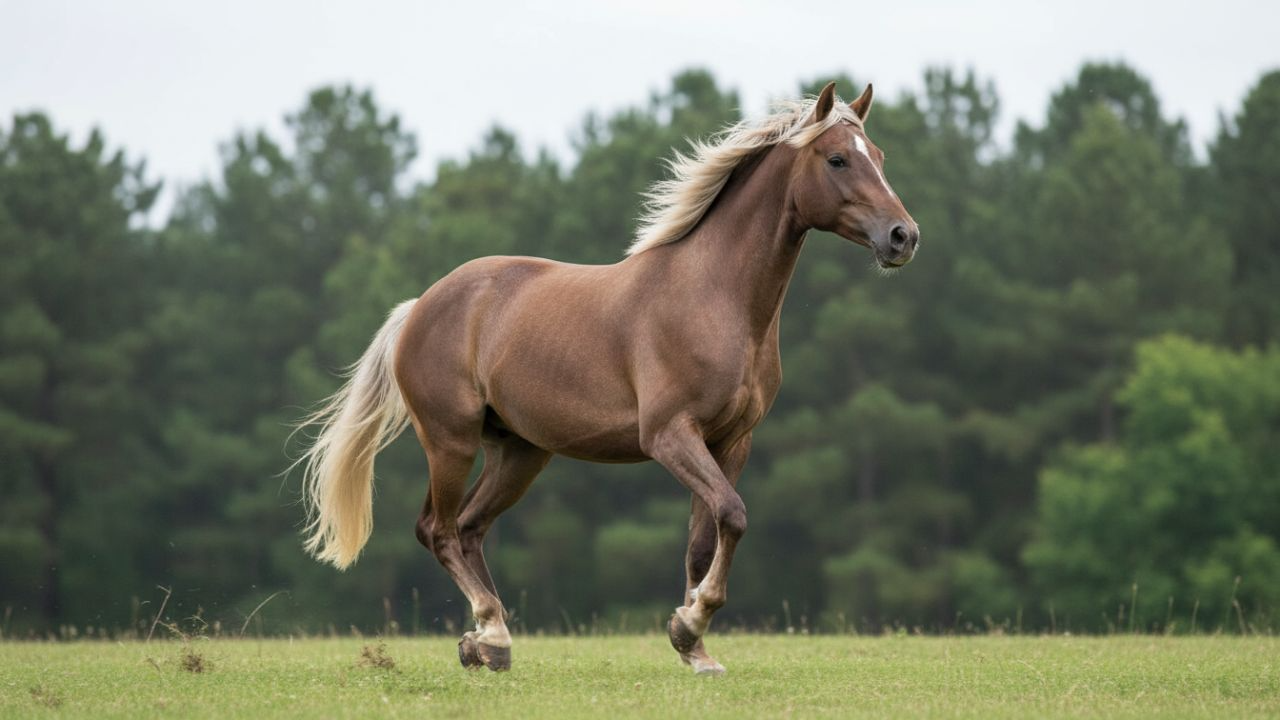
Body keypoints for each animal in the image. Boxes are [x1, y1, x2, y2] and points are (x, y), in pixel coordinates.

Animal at [296, 81, 918, 675]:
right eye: (837, 158)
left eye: (879, 156)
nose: (903, 236)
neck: (716, 298)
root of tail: (418, 307)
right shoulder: (669, 435)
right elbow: (733, 514)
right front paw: (690, 623)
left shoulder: (731, 441)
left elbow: (707, 537)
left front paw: (695, 647)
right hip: (450, 441)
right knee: (438, 529)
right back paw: (491, 633)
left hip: (520, 452)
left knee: (470, 528)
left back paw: (488, 643)